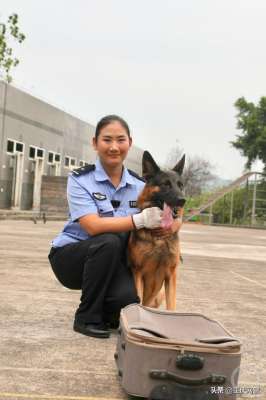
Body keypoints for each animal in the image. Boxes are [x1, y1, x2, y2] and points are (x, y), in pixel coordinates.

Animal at [128, 152, 186, 310]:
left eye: (181, 185)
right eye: (165, 184)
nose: (182, 200)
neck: (159, 238)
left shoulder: (171, 275)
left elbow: (171, 307)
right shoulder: (138, 273)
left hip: (158, 297)